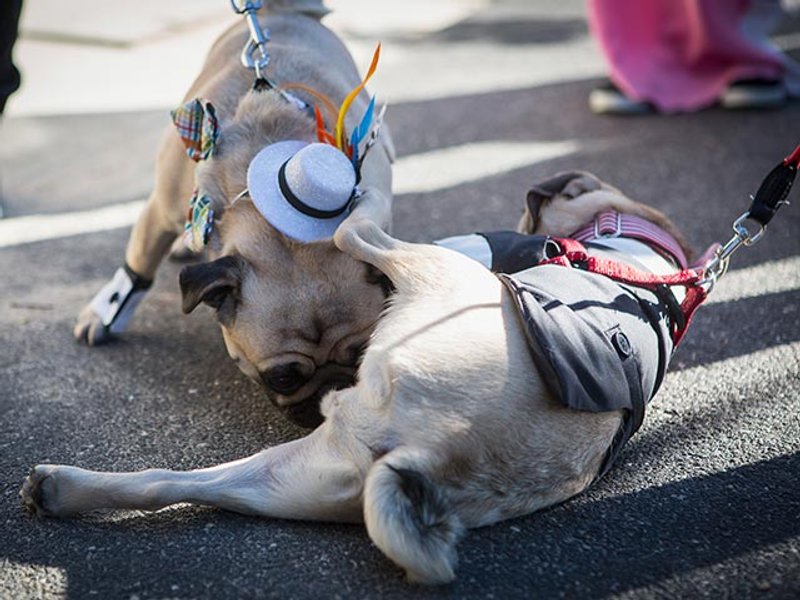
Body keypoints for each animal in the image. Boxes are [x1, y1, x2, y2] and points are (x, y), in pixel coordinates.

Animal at [23, 172, 702, 584]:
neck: (641, 257)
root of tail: (435, 456)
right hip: (285, 479)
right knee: (163, 484)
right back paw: (60, 489)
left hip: (430, 270)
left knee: (358, 229)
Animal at [72, 0, 394, 428]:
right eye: (281, 378)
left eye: (360, 358)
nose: (333, 390)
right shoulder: (161, 209)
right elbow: (139, 260)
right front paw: (104, 314)